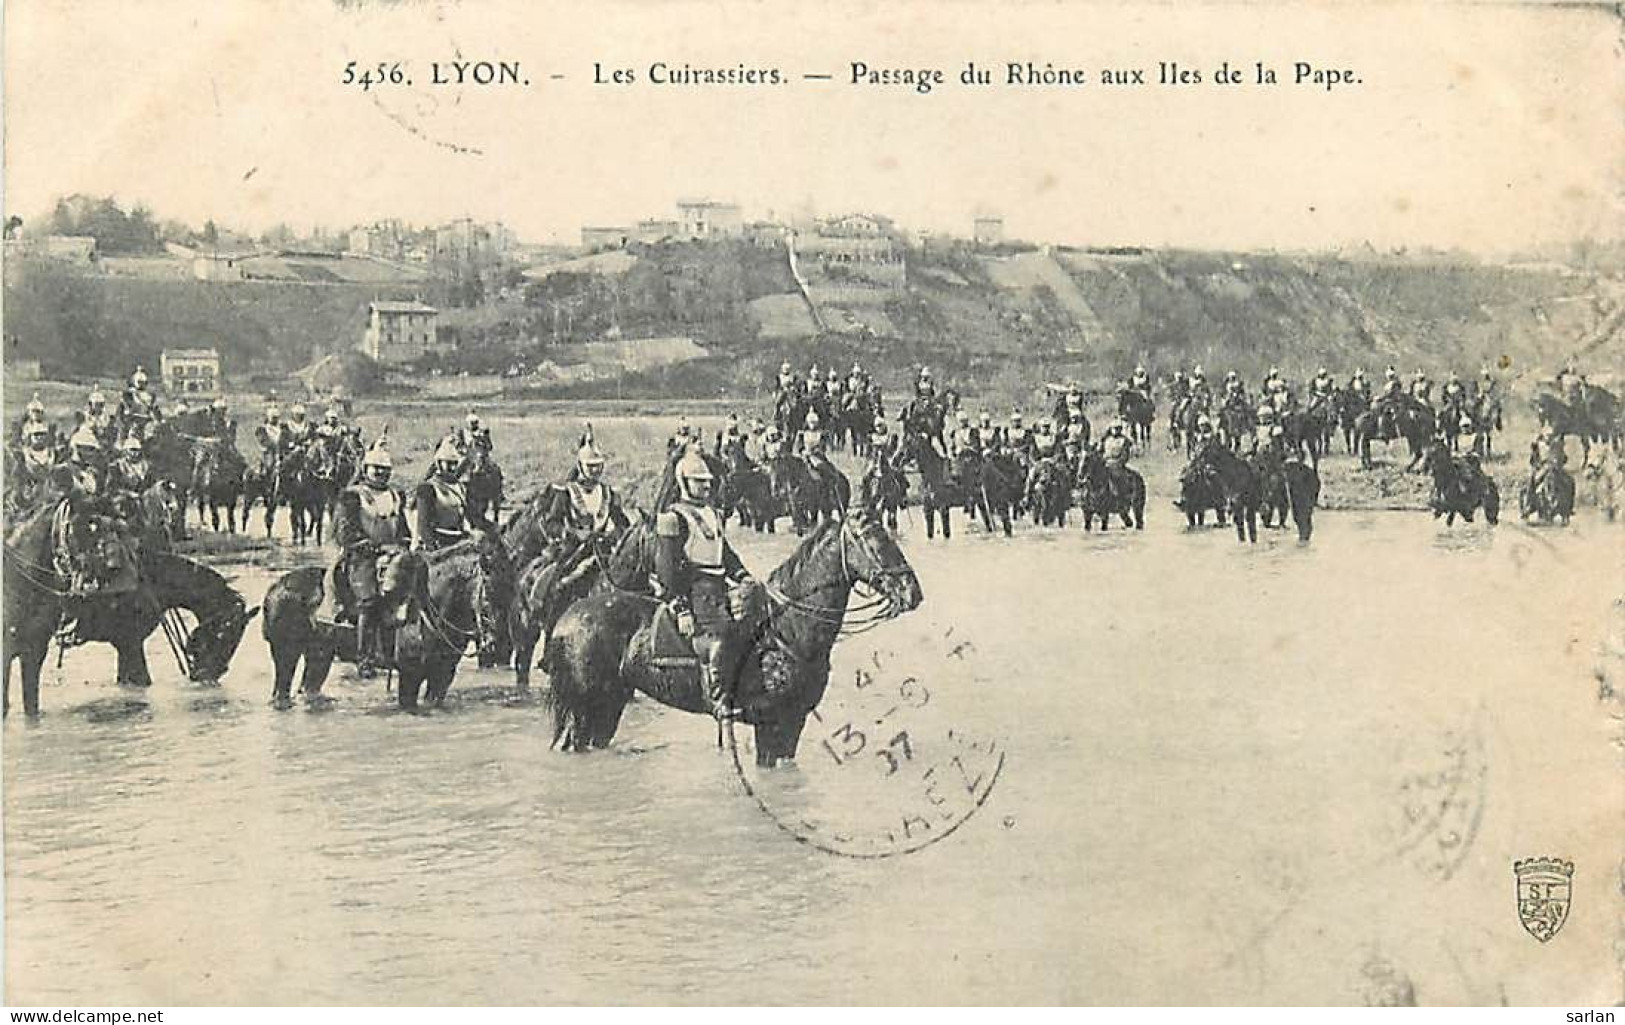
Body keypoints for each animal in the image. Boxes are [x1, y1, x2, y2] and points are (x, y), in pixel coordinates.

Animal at [4, 503, 256, 714]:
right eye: (227, 633)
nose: (212, 674)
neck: (151, 583)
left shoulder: (125, 645)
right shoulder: (131, 643)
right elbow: (143, 680)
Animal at [258, 536, 507, 714]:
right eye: (490, 588)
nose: (497, 641)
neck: (430, 603)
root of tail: (275, 589)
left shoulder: (443, 674)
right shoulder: (410, 674)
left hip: (319, 656)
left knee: (310, 687)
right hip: (286, 655)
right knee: (283, 690)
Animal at [546, 510, 929, 766]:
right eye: (872, 542)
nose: (912, 592)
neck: (787, 629)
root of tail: (566, 618)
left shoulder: (794, 723)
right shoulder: (771, 723)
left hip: (608, 705)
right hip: (583, 706)